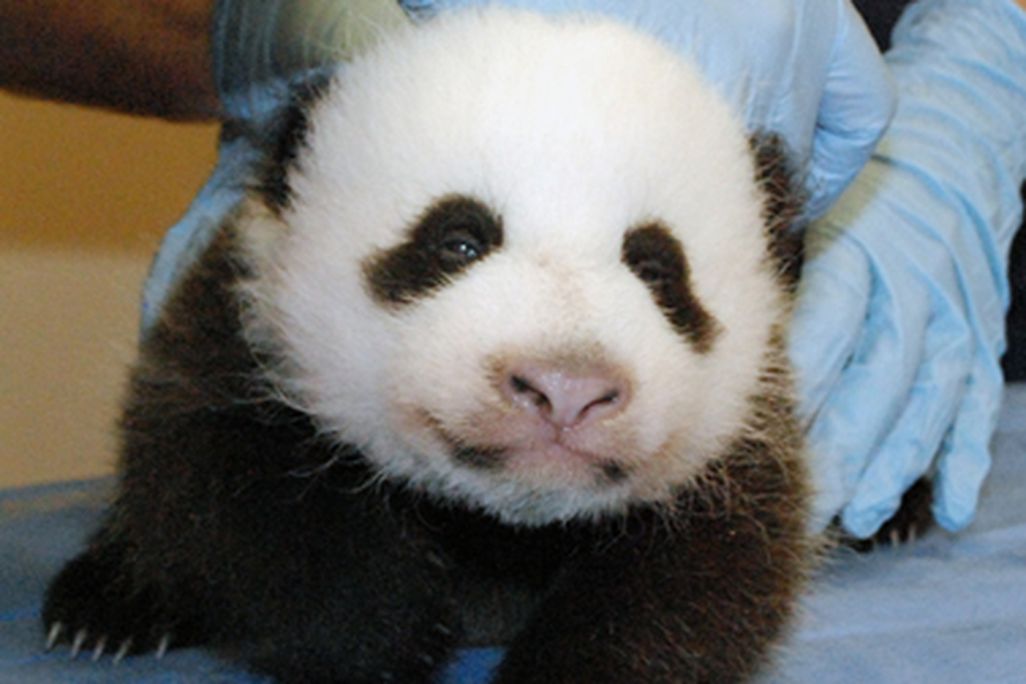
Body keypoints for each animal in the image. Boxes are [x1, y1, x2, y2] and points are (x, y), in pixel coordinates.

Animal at [43, 8, 814, 683]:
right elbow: (225, 480)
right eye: (458, 241)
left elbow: (707, 569)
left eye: (656, 268)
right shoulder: (239, 325)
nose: (565, 388)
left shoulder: (751, 424)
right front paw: (383, 631)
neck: (502, 524)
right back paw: (106, 607)